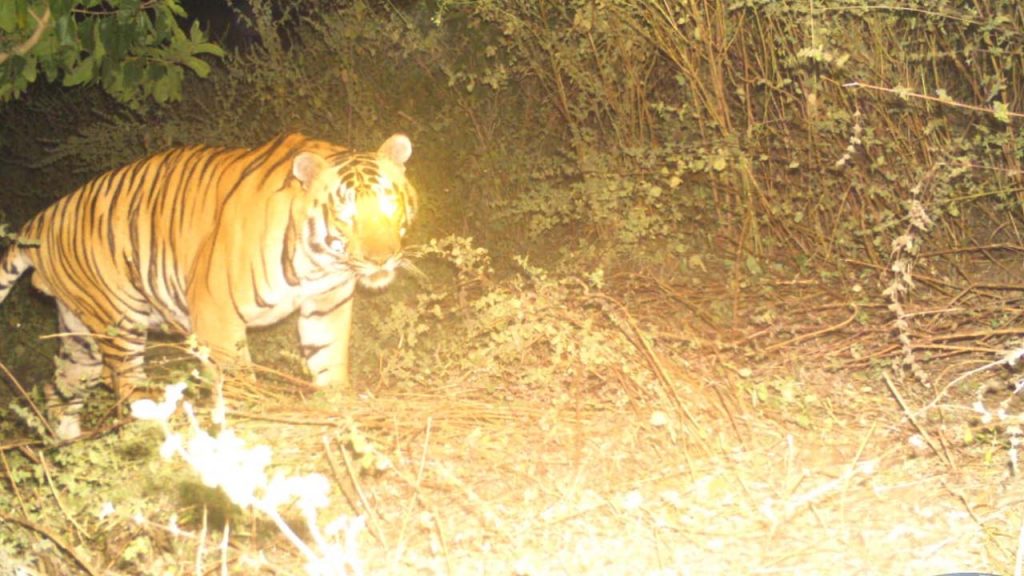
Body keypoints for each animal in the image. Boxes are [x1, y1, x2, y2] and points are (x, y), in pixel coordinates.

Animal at [0, 133, 418, 438]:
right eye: (346, 216)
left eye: (389, 205)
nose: (381, 259)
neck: (318, 263)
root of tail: (43, 218)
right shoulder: (217, 314)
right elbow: (236, 379)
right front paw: (253, 420)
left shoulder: (326, 305)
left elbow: (328, 361)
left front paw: (336, 408)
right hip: (120, 318)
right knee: (121, 380)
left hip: (79, 334)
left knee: (59, 388)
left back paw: (66, 445)